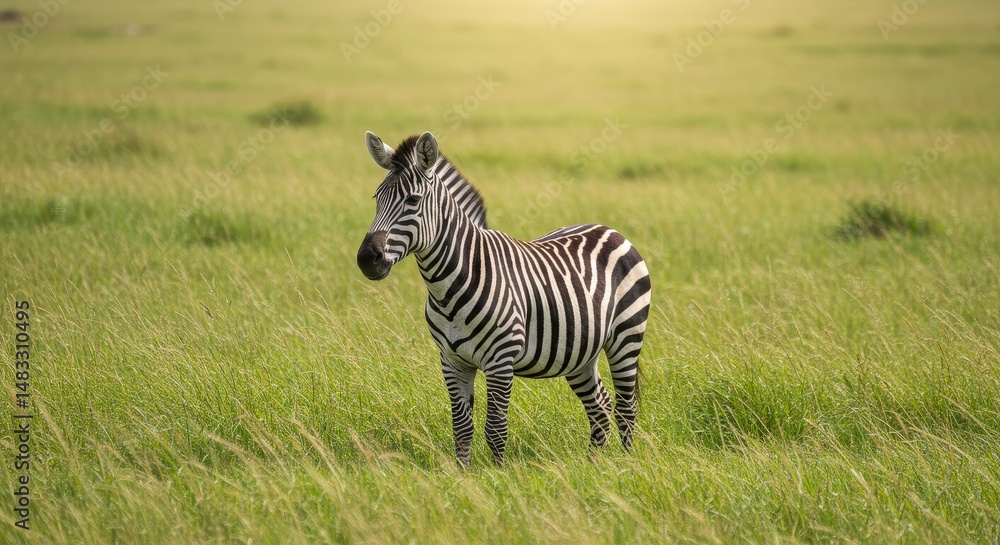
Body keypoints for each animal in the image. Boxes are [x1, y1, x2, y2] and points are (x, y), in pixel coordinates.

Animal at [356, 131, 651, 467]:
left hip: (627, 335)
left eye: (413, 201)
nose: (367, 259)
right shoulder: (452, 360)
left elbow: (496, 429)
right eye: (376, 199)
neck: (449, 288)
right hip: (580, 352)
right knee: (600, 405)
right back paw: (593, 465)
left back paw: (627, 464)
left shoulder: (500, 360)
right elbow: (462, 427)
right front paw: (464, 474)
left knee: (626, 407)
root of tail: (608, 228)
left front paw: (499, 475)